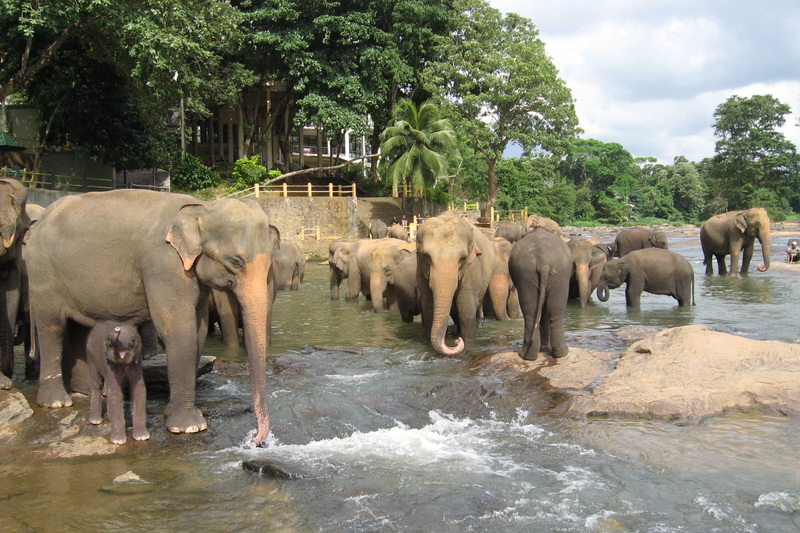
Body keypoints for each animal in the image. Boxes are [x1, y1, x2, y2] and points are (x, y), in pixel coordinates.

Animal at [26, 189, 278, 442]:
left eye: (270, 265)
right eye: (236, 262)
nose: (255, 439)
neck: (202, 207)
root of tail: (40, 220)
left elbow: (198, 331)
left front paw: (173, 415)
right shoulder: (164, 265)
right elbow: (179, 329)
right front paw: (188, 427)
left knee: (81, 327)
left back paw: (88, 390)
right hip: (42, 272)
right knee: (52, 327)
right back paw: (56, 402)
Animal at [416, 210, 496, 356]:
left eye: (462, 258)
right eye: (426, 256)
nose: (456, 342)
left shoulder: (473, 267)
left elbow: (466, 308)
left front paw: (467, 342)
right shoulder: (420, 269)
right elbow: (428, 306)